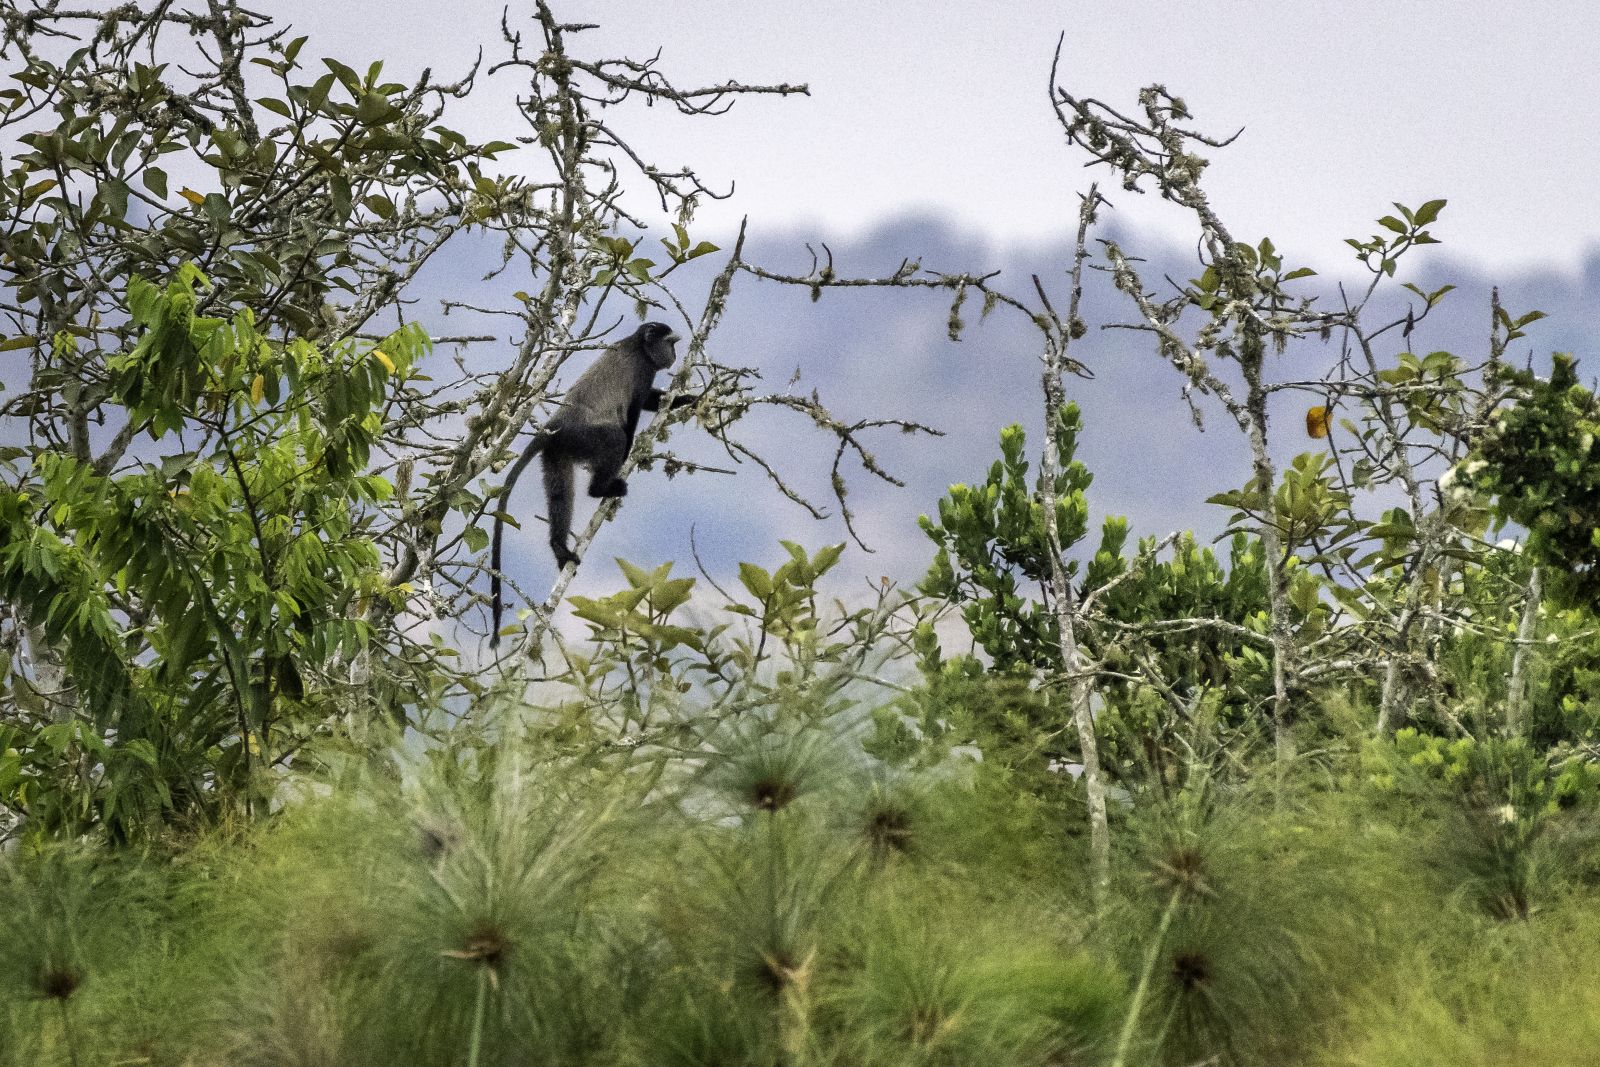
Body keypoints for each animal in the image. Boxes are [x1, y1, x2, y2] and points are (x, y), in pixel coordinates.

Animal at [489, 321, 698, 645]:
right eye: (670, 342)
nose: (674, 356)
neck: (636, 345)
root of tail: (554, 426)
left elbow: (653, 401)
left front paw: (687, 400)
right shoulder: (642, 372)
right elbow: (633, 415)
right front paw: (628, 457)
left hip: (558, 452)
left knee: (561, 493)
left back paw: (559, 546)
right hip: (585, 437)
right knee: (614, 437)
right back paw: (601, 489)